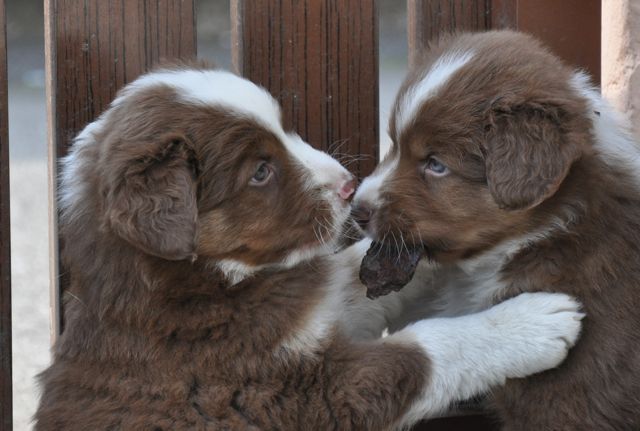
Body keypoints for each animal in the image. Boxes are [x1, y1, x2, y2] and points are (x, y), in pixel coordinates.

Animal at [34, 65, 583, 430]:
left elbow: (342, 276)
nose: (349, 186)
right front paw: (533, 324)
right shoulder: (295, 390)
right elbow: (425, 350)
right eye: (260, 171)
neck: (208, 283)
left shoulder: (305, 314)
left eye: (286, 130)